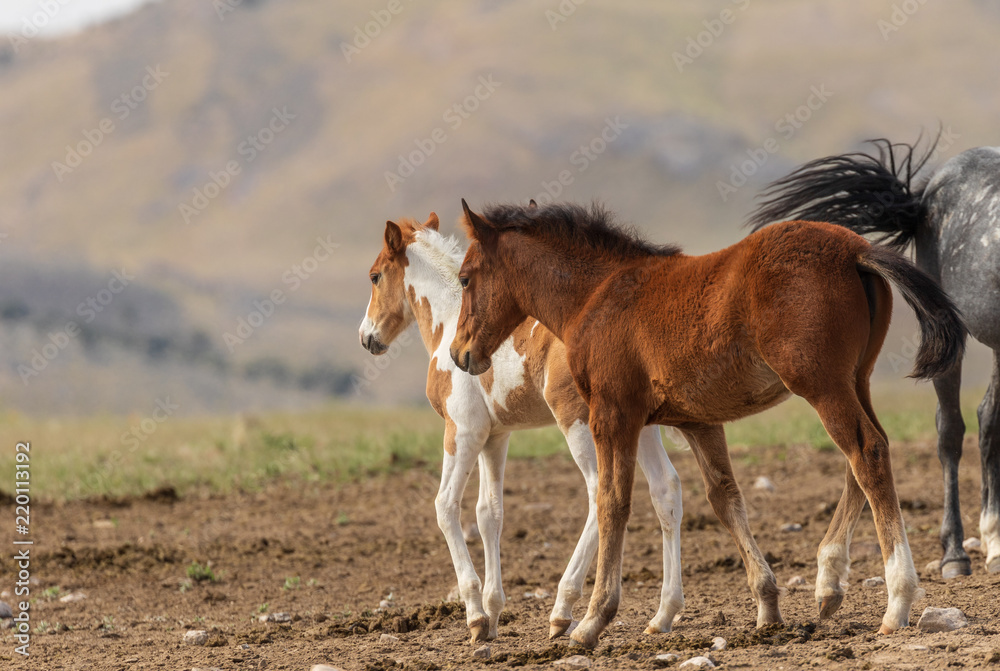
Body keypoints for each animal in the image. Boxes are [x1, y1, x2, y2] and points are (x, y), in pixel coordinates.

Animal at [360, 215, 688, 644]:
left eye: (375, 276)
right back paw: (664, 613)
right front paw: (493, 613)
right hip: (636, 425)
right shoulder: (495, 437)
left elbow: (445, 506)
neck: (450, 323)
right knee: (666, 488)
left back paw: (563, 609)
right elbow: (489, 513)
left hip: (579, 422)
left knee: (599, 493)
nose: (367, 337)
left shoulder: (462, 431)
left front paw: (475, 615)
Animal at [450, 201, 964, 652]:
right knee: (866, 456)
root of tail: (854, 248)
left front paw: (592, 621)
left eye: (464, 277)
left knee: (866, 452)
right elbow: (725, 498)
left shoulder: (612, 413)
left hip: (822, 384)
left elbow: (612, 501)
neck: (596, 295)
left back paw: (896, 602)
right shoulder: (695, 421)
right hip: (857, 378)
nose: (459, 353)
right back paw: (829, 584)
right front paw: (767, 607)